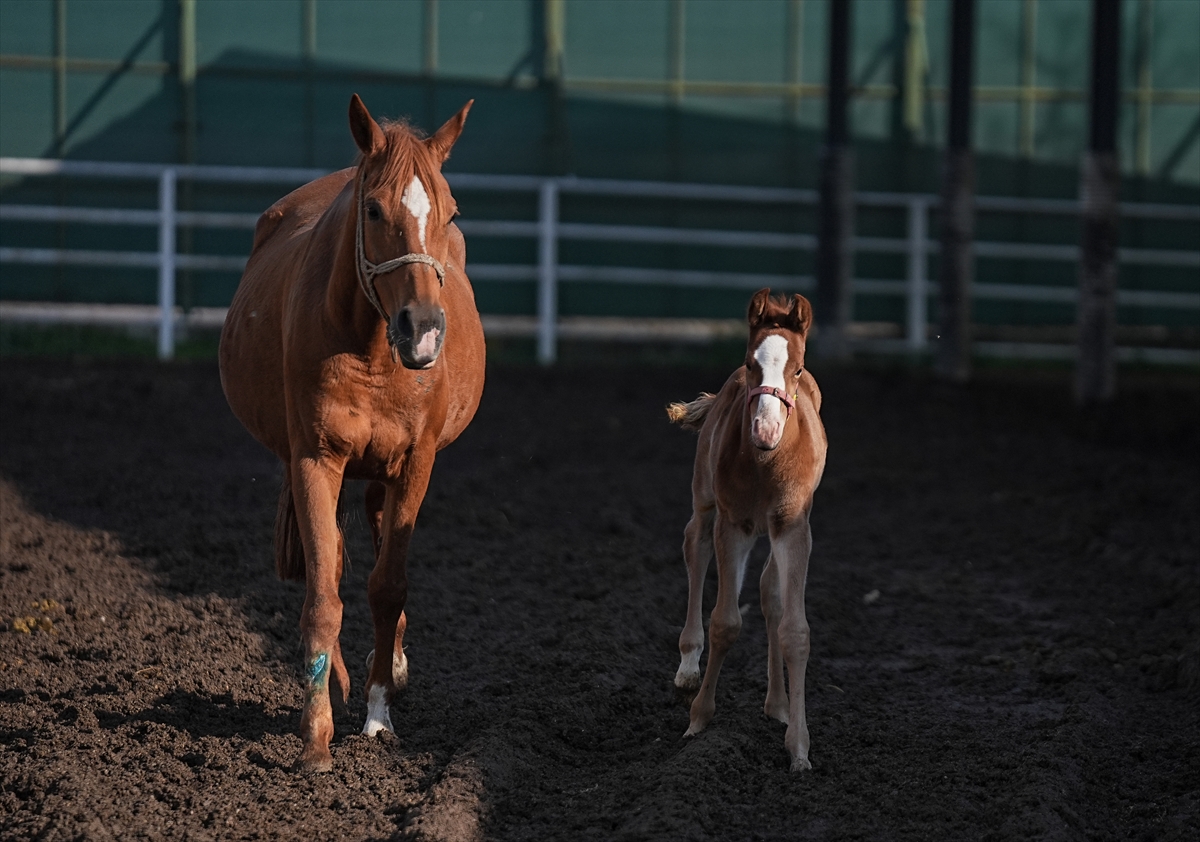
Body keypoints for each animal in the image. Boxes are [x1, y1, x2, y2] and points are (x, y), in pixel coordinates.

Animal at [218, 94, 485, 772]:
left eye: (450, 211)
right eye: (373, 209)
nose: (423, 329)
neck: (371, 353)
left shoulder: (415, 463)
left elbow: (387, 587)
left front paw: (379, 712)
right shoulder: (315, 460)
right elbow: (324, 594)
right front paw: (316, 733)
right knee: (335, 563)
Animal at [666, 288, 827, 772]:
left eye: (797, 369)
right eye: (750, 362)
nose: (766, 429)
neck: (765, 462)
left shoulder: (793, 528)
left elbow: (795, 630)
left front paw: (799, 747)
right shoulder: (732, 523)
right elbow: (725, 622)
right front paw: (699, 719)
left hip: (770, 530)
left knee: (769, 590)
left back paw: (776, 704)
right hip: (705, 498)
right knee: (694, 544)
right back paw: (687, 667)